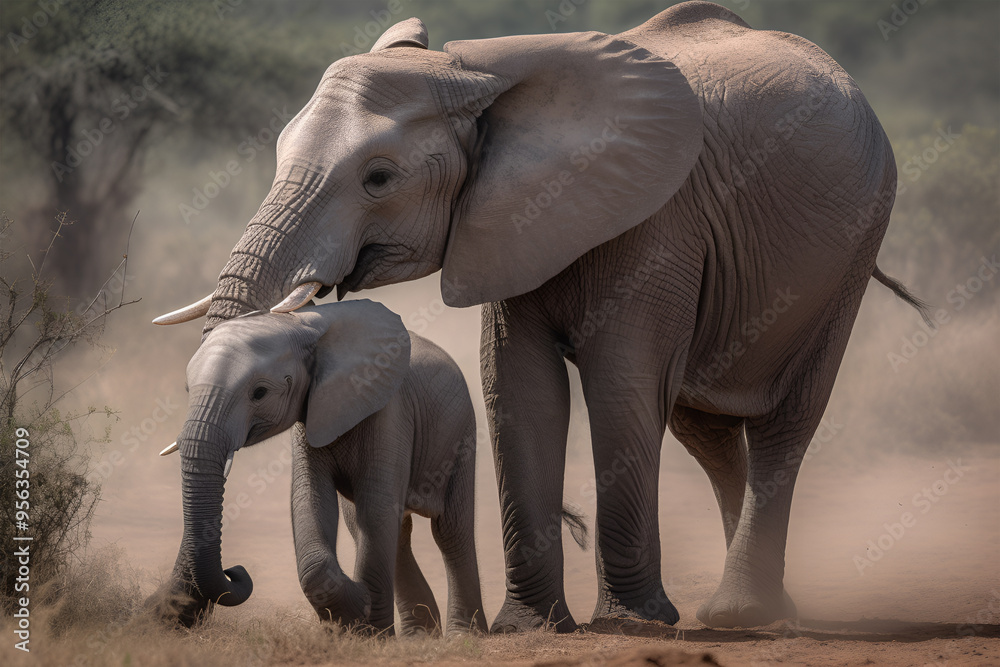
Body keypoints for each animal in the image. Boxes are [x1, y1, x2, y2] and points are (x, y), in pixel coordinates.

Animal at [148, 300, 488, 635]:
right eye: (188, 390)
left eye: (260, 393)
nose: (235, 569)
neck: (303, 324)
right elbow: (311, 499)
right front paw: (350, 620)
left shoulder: (390, 409)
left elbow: (376, 508)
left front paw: (367, 628)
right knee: (390, 533)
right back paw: (421, 635)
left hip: (462, 432)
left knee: (450, 531)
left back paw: (462, 634)